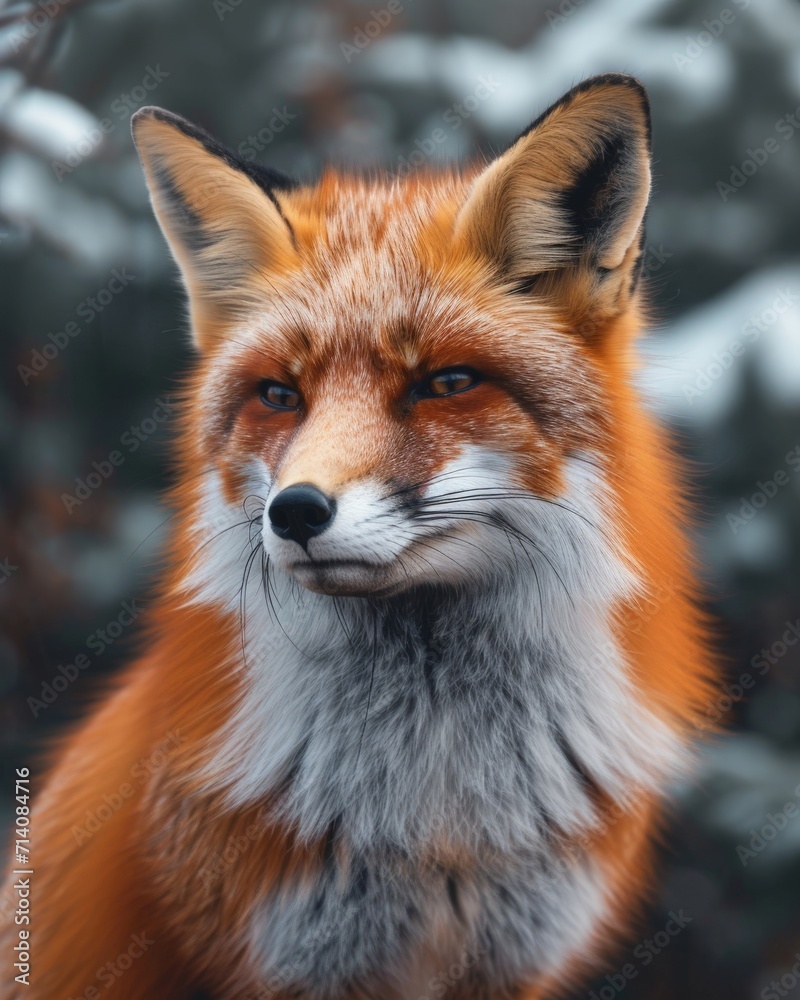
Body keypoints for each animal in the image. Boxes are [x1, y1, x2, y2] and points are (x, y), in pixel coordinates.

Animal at [2, 74, 715, 1000]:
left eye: (445, 383)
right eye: (279, 395)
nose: (296, 513)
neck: (437, 819)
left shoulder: (510, 960)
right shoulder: (284, 960)